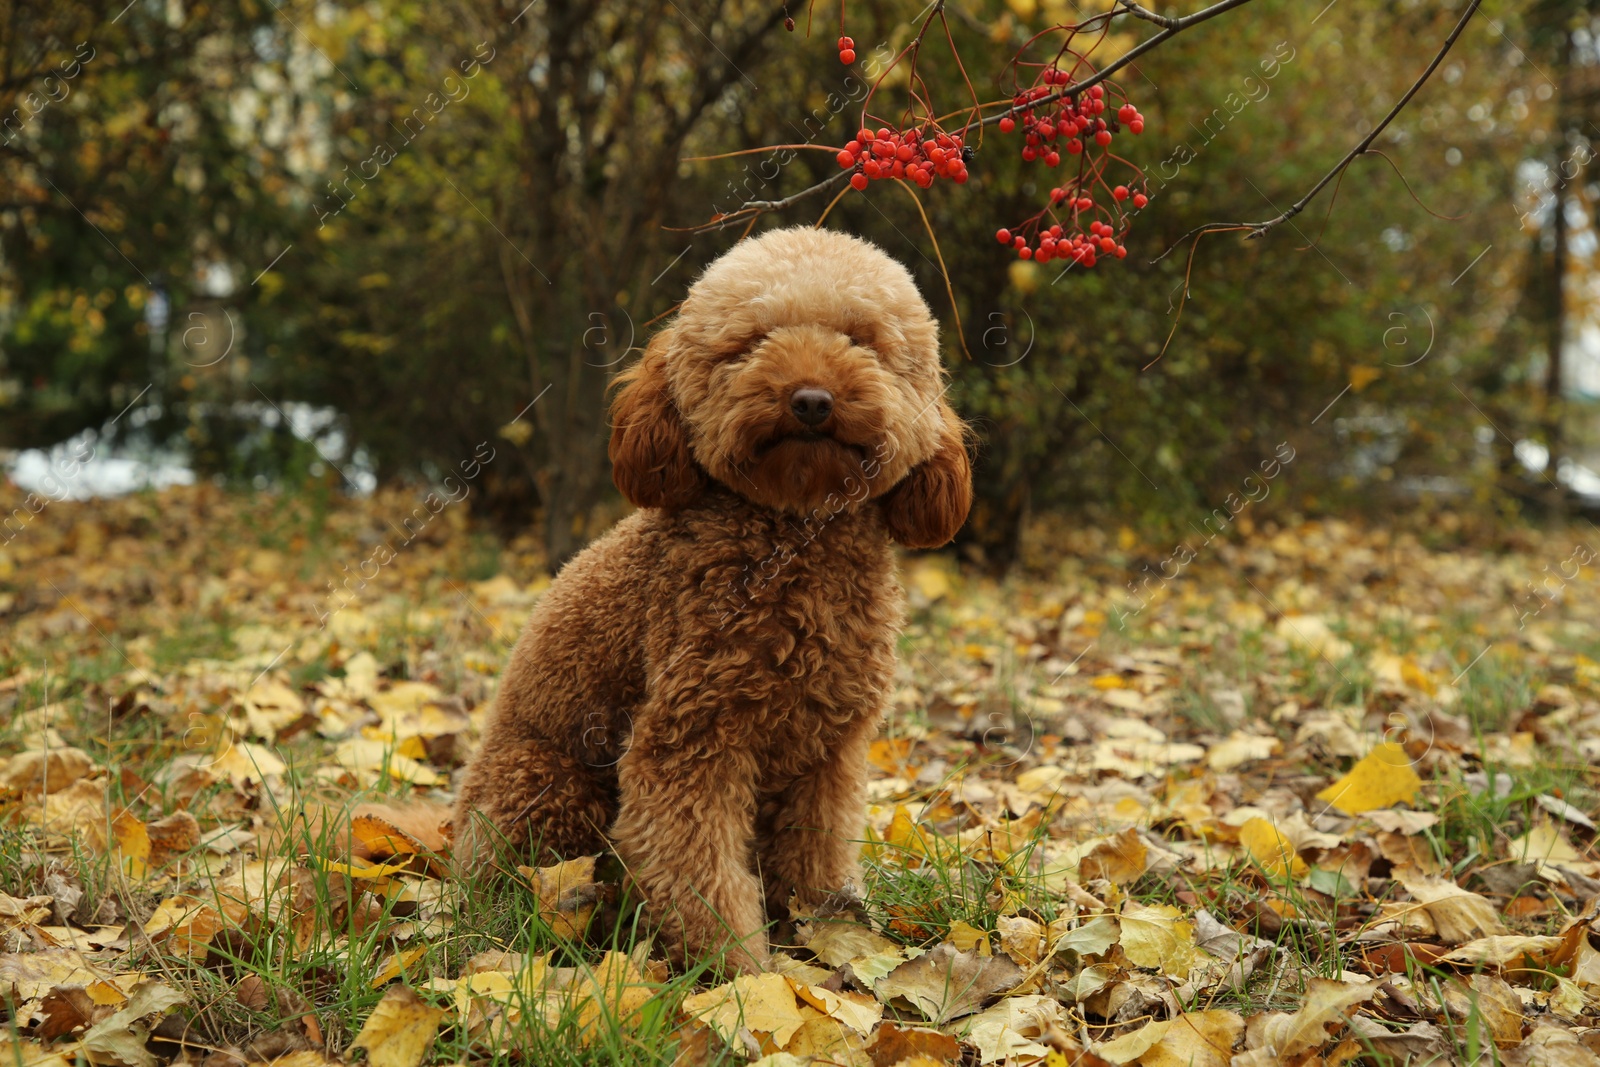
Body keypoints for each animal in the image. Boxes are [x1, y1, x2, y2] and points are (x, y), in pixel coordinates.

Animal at [454, 227, 972, 979]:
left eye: (862, 340)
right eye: (751, 342)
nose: (811, 400)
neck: (793, 538)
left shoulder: (828, 754)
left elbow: (815, 860)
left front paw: (827, 947)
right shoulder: (690, 743)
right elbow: (701, 878)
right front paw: (739, 982)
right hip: (550, 785)